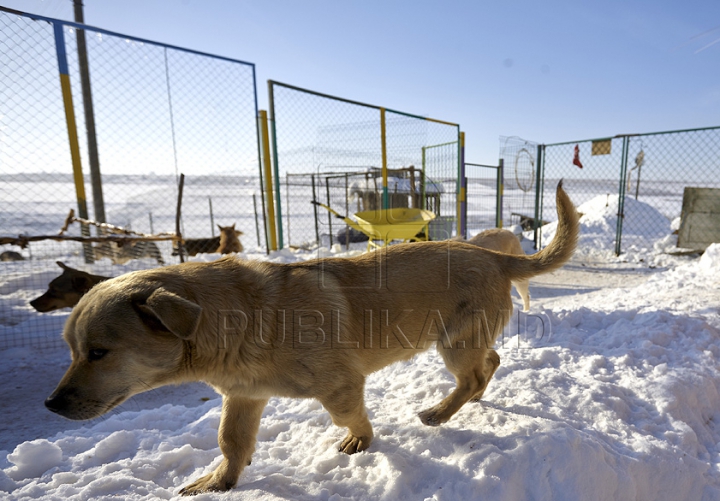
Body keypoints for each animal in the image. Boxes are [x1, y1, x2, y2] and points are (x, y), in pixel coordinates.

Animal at [46, 182, 580, 494]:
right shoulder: (244, 397)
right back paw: (465, 402)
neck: (241, 318)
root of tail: (495, 256)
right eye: (72, 350)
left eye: (98, 352)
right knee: (489, 365)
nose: (51, 405)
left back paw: (438, 412)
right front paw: (220, 481)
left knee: (474, 373)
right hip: (463, 340)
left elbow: (351, 417)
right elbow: (230, 441)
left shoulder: (340, 386)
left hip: (454, 342)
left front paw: (359, 442)